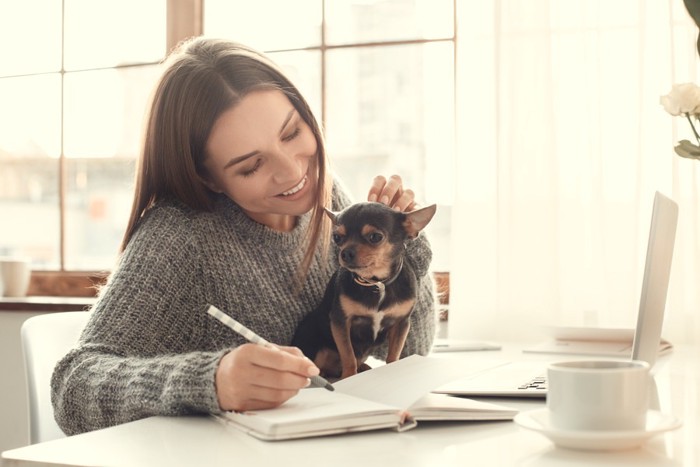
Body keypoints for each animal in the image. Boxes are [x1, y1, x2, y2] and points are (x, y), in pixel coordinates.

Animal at [292, 201, 434, 380]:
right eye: (337, 238)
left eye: (375, 237)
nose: (345, 253)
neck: (377, 284)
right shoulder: (340, 322)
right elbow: (348, 355)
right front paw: (349, 377)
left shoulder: (401, 324)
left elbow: (393, 355)